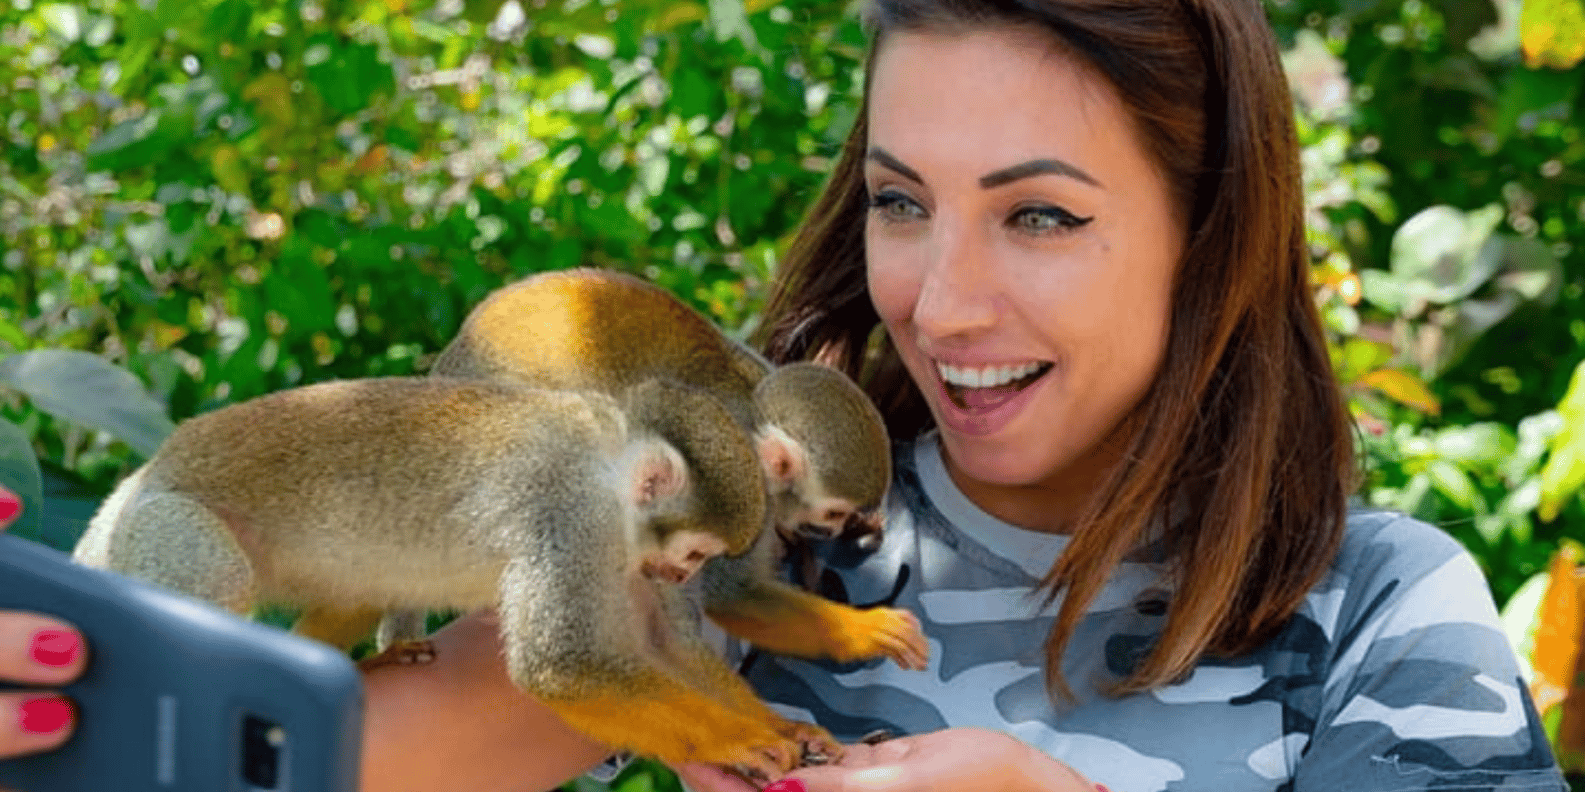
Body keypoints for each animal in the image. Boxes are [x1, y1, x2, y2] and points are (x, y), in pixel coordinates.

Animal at [73, 375, 835, 778]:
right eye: (697, 552)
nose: (677, 572)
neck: (610, 464)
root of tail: (137, 481)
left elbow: (666, 647)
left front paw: (783, 729)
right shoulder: (569, 513)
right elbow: (562, 665)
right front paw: (738, 741)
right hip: (163, 530)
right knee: (217, 581)